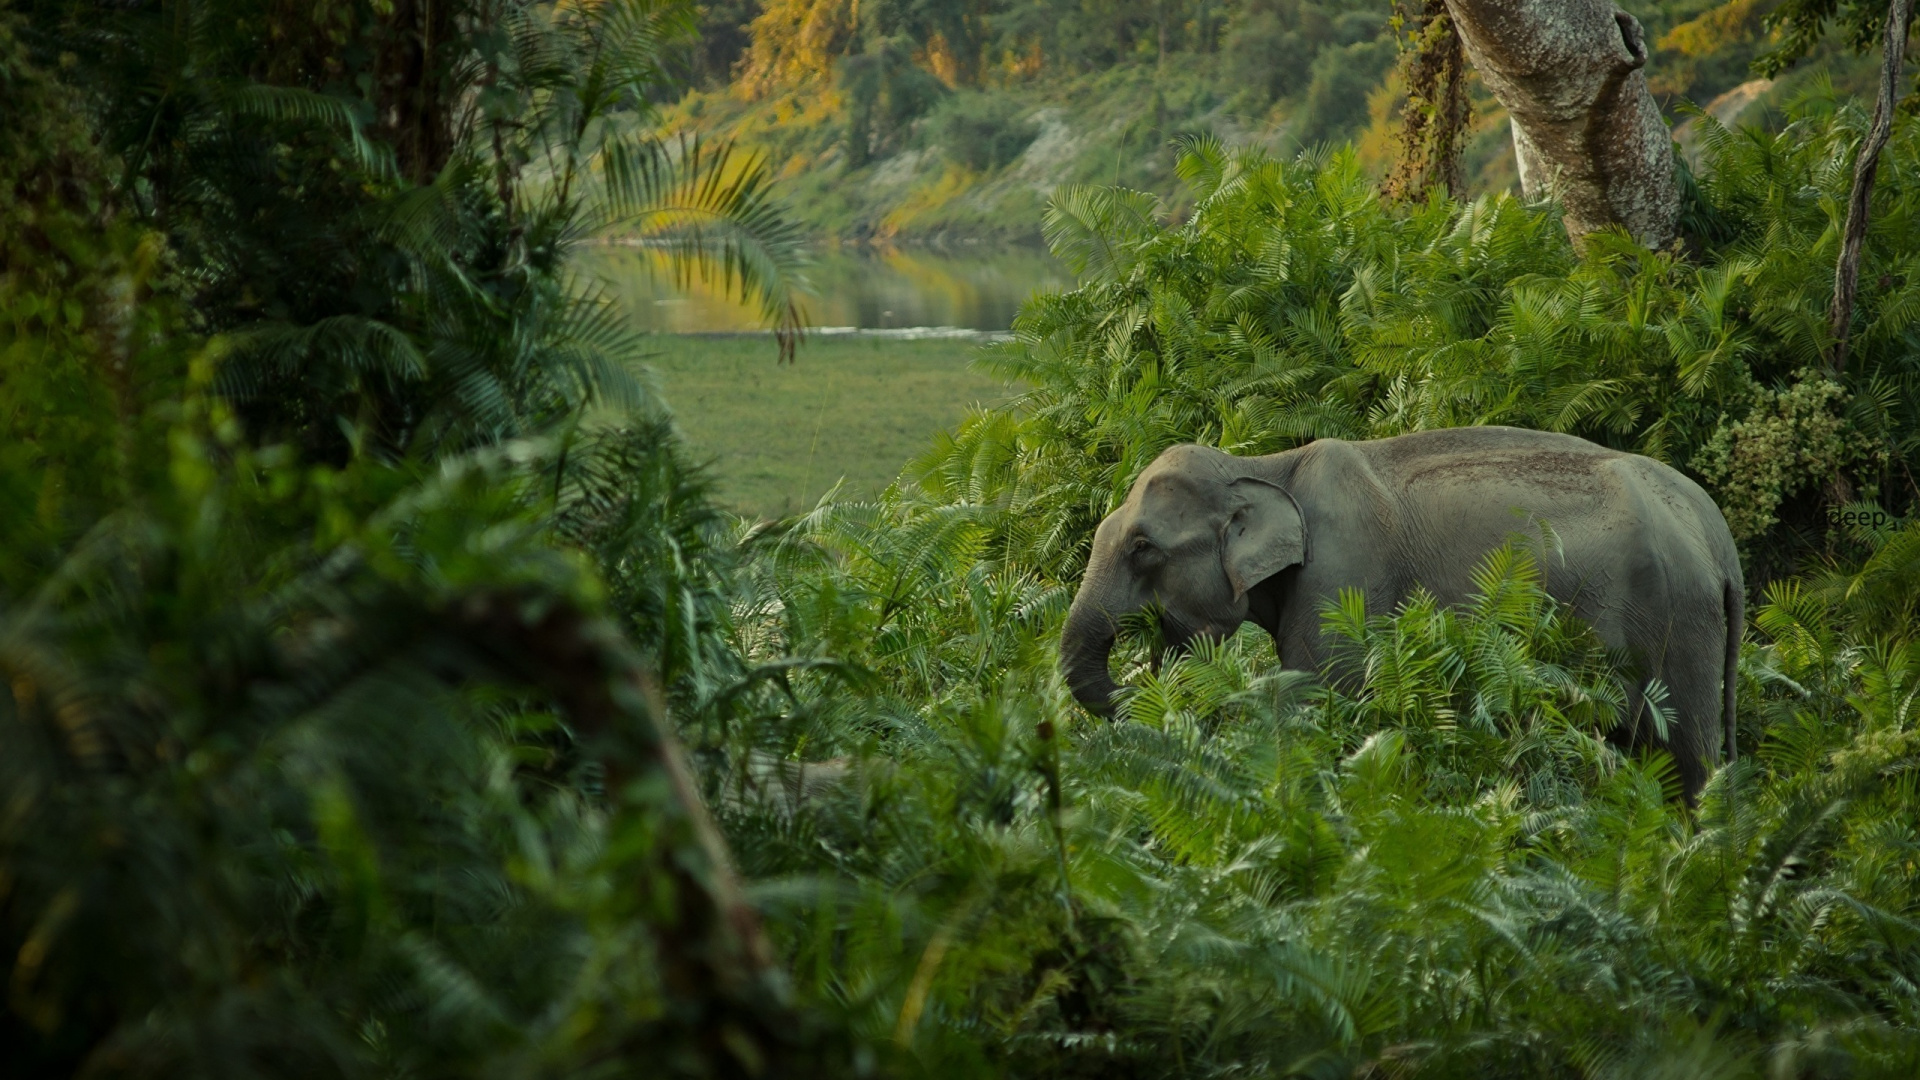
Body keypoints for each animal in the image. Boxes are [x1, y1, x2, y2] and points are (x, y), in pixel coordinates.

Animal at [1059, 426, 1745, 799]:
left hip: (1681, 624)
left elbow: (1319, 701)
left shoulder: (1343, 578)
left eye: (1143, 548)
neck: (1263, 466)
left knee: (1685, 761)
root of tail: (1718, 536)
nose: (1147, 657)